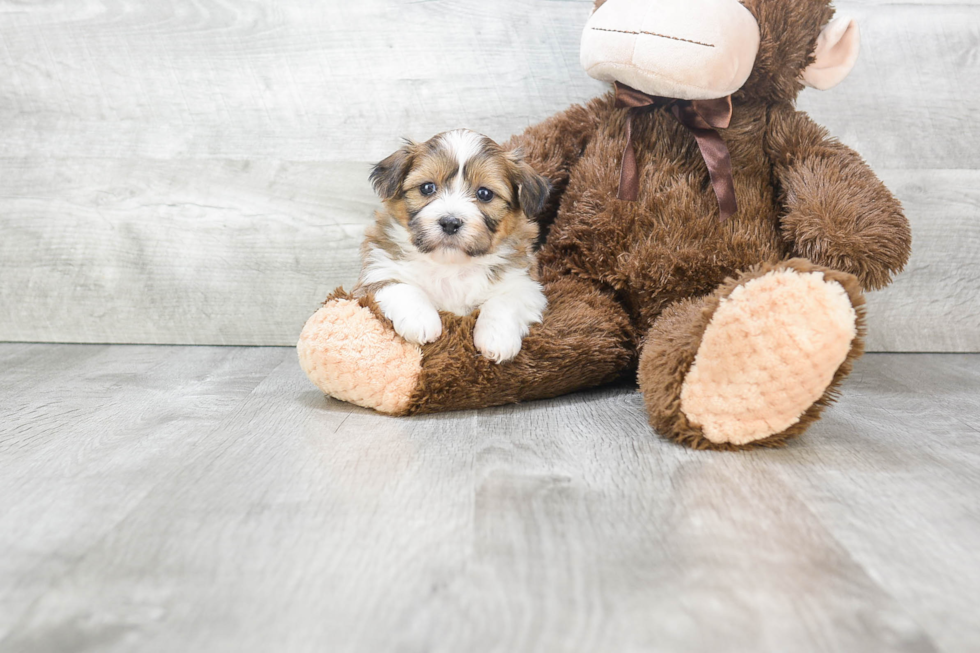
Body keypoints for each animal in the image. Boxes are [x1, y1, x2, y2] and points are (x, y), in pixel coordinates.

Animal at [352, 127, 552, 362]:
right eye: (427, 188)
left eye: (485, 193)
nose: (450, 222)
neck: (451, 265)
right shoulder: (376, 272)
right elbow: (400, 285)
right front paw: (420, 319)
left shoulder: (525, 284)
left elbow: (505, 302)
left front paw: (496, 338)